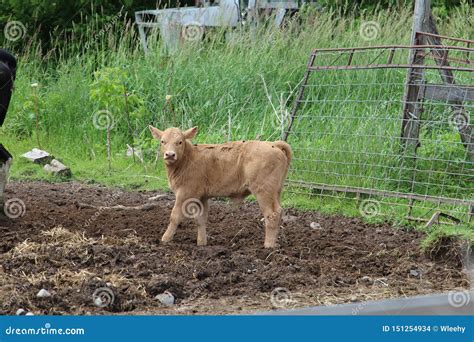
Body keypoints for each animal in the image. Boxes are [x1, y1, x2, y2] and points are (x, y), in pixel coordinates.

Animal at [149, 125, 292, 248]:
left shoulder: (184, 193)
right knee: (279, 211)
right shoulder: (202, 197)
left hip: (264, 191)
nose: (170, 155)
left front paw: (165, 239)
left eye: (179, 142)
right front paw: (201, 243)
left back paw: (268, 245)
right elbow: (201, 219)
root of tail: (273, 145)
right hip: (276, 191)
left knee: (272, 214)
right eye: (162, 141)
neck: (188, 158)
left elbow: (175, 216)